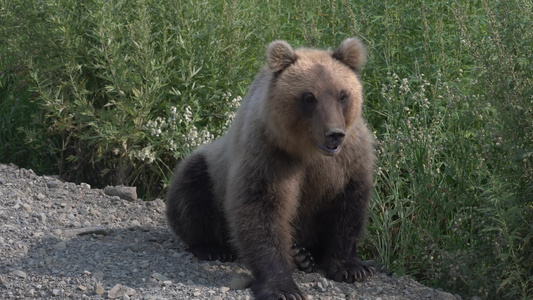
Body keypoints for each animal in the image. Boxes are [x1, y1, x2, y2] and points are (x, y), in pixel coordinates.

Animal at [166, 37, 374, 300]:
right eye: (309, 97)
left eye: (343, 95)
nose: (334, 133)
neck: (308, 151)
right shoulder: (269, 154)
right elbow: (262, 209)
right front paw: (283, 288)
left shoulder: (349, 160)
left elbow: (348, 206)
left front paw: (351, 268)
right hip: (210, 169)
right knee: (192, 188)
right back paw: (212, 247)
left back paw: (304, 256)